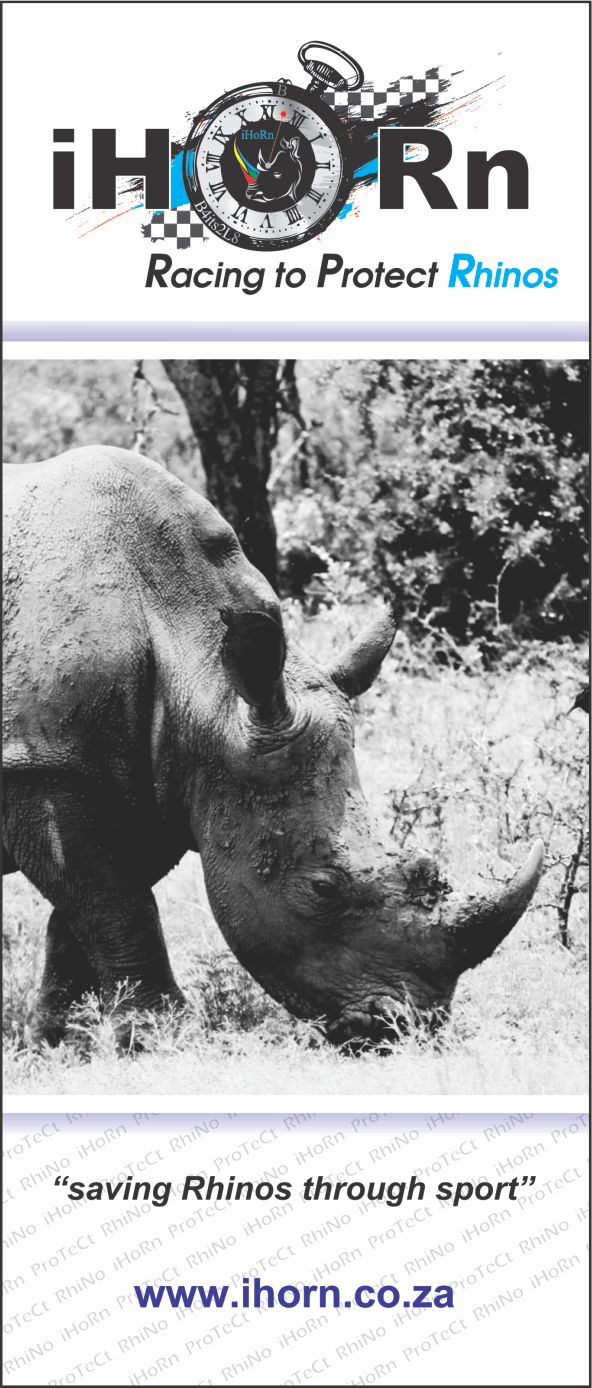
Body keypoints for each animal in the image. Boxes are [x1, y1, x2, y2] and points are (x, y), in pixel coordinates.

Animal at [3, 446, 545, 1049]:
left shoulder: (163, 776)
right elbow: (113, 902)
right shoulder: (41, 764)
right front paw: (157, 1036)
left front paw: (56, 1042)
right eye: (323, 889)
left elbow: (89, 906)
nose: (403, 1027)